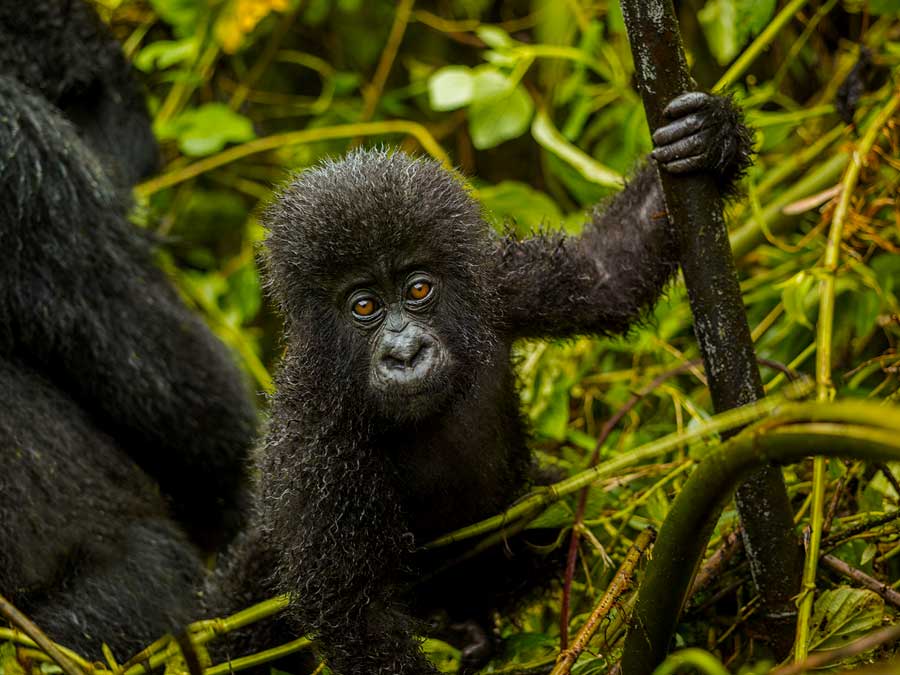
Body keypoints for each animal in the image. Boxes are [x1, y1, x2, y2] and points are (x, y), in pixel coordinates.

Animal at [214, 91, 756, 675]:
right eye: (364, 306)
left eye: (419, 288)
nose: (405, 353)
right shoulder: (313, 433)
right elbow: (359, 617)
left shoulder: (498, 283)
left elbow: (605, 274)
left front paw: (710, 136)